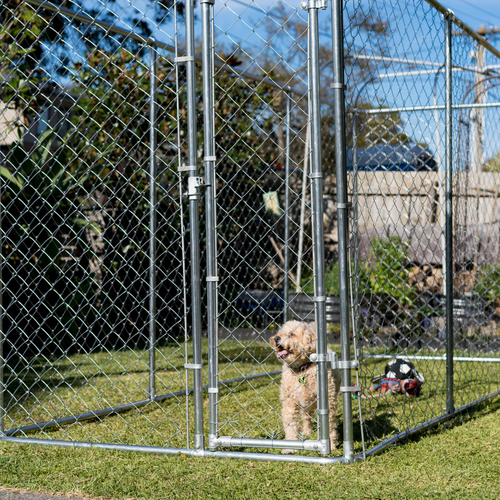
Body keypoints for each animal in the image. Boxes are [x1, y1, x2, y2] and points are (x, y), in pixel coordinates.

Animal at [270, 320, 340, 454]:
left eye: (292, 334)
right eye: (280, 332)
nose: (276, 338)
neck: (301, 369)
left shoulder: (329, 401)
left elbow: (329, 424)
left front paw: (332, 445)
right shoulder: (290, 403)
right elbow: (290, 425)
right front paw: (290, 446)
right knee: (306, 417)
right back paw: (307, 431)